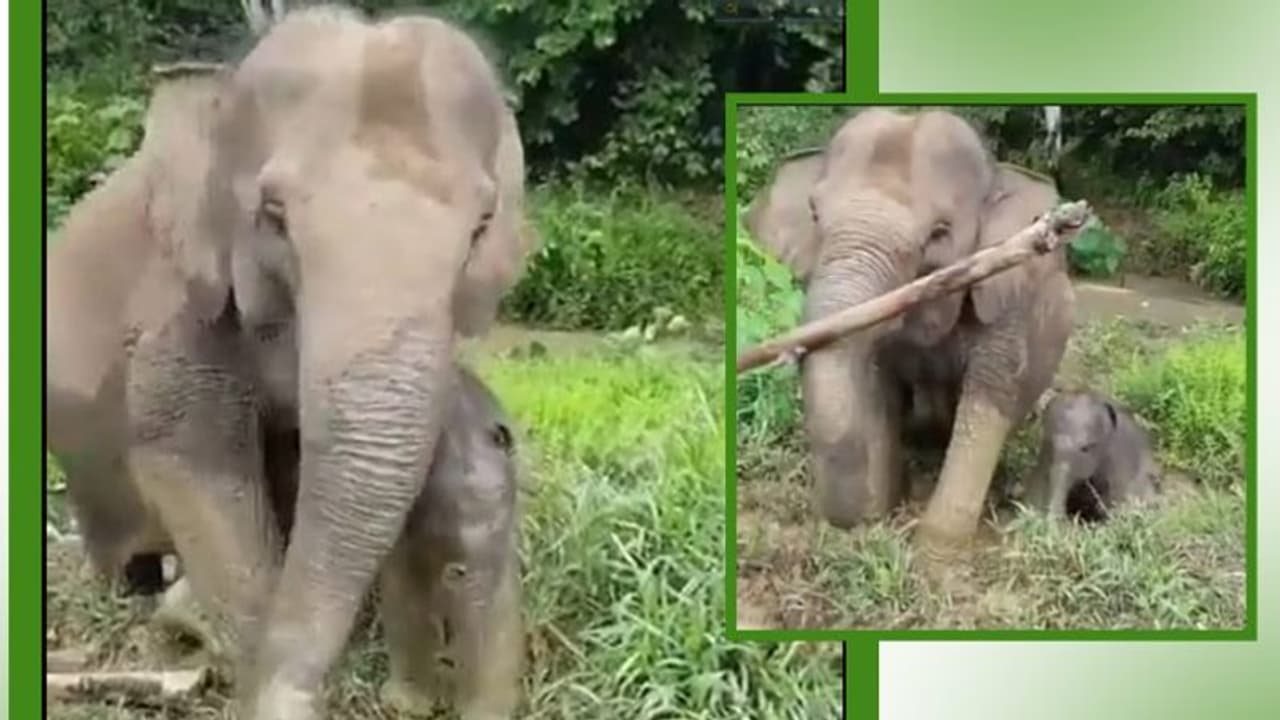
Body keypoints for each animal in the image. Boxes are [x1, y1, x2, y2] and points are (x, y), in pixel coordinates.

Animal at [744, 108, 1076, 550]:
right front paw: (880, 513)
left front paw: (937, 548)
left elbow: (987, 401)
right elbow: (876, 393)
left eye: (940, 232)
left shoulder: (1008, 304)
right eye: (814, 214)